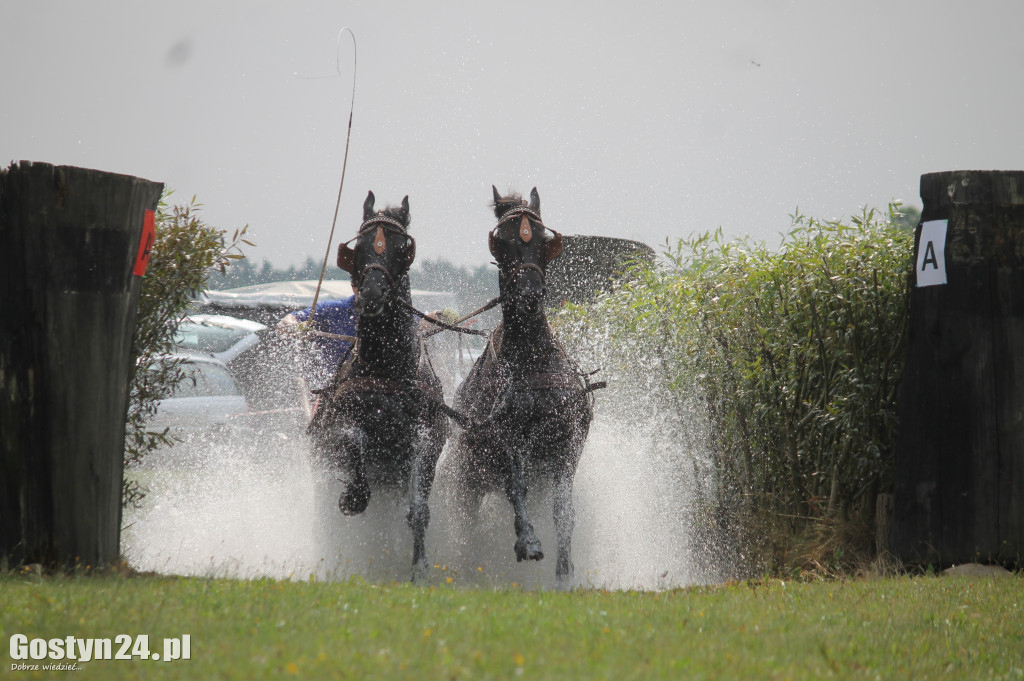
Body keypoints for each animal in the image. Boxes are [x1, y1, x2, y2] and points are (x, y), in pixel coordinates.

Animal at [305, 189, 446, 577]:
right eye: (361, 245)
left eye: (401, 247)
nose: (371, 294)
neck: (386, 370)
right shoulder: (338, 432)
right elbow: (353, 444)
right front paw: (352, 496)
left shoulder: (427, 438)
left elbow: (418, 510)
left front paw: (420, 570)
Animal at [446, 186, 593, 585]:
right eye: (503, 242)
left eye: (543, 240)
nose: (529, 296)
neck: (530, 360)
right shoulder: (506, 437)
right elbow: (516, 486)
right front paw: (528, 542)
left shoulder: (566, 443)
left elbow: (563, 509)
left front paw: (565, 573)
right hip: (467, 480)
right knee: (469, 522)